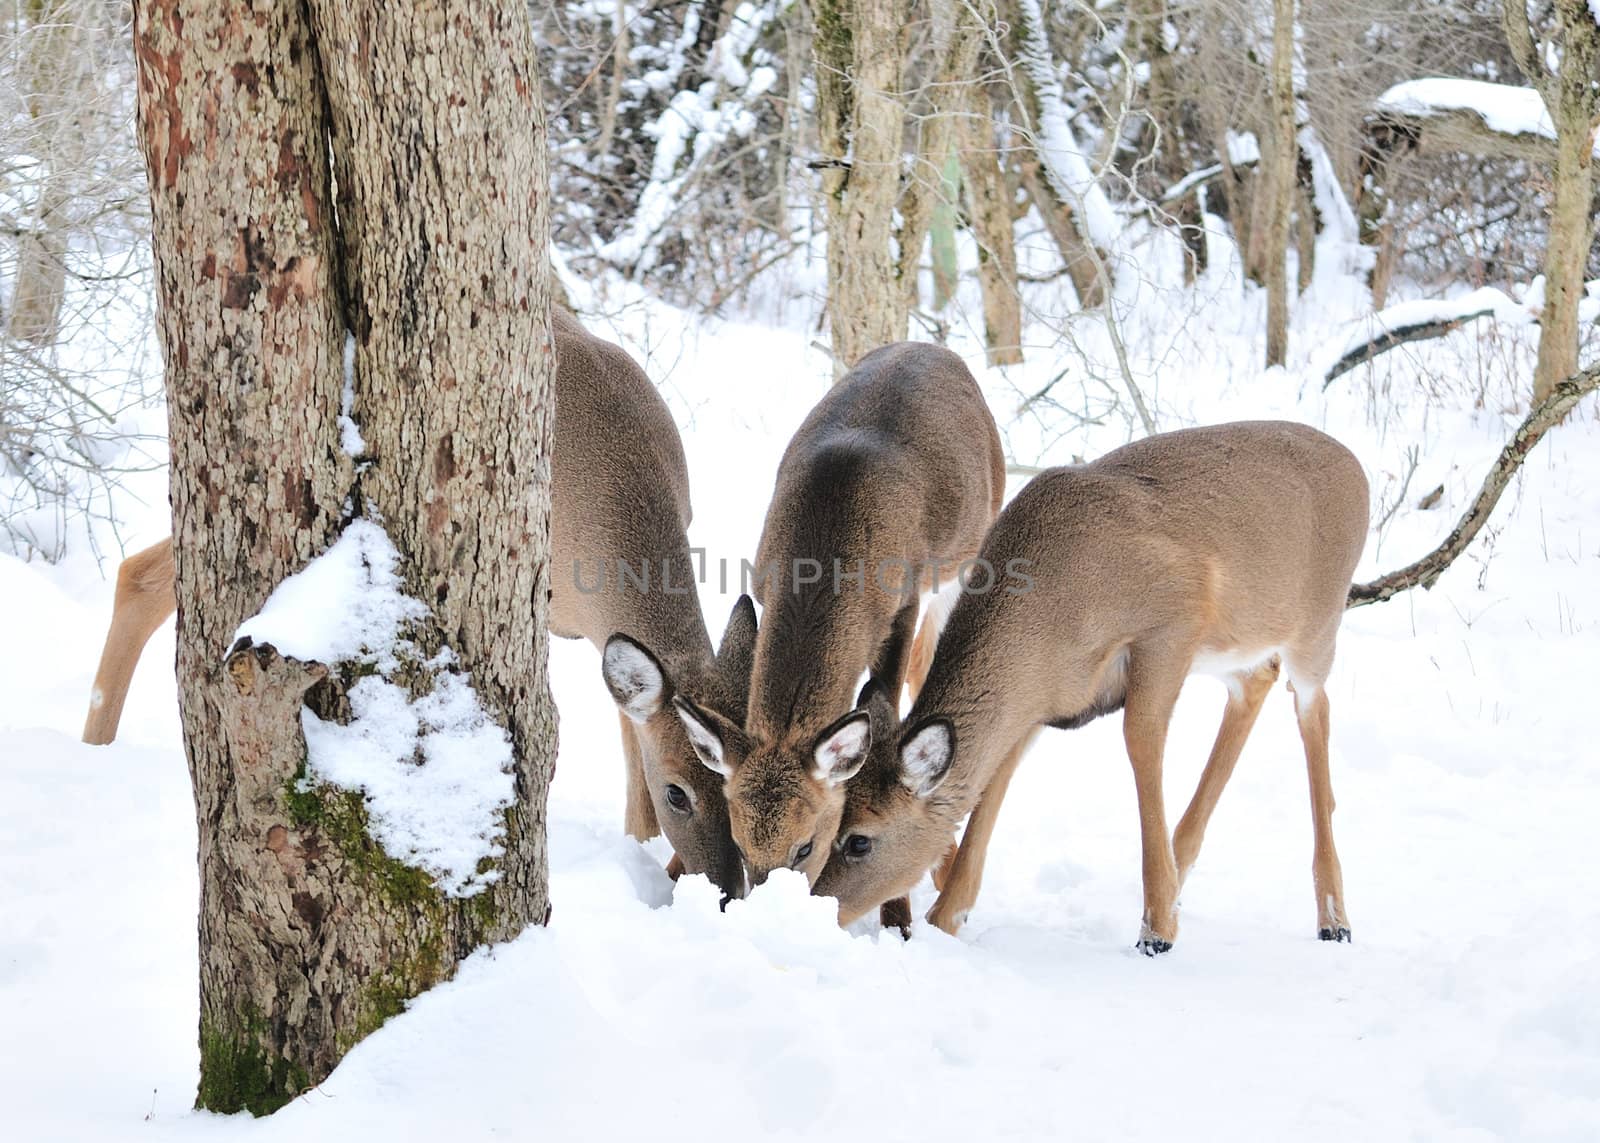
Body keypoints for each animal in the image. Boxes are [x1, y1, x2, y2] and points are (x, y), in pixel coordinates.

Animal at [624, 340, 998, 915]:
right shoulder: (761, 583)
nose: (757, 911)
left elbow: (884, 701)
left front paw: (899, 914)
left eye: (808, 846)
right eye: (739, 842)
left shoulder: (904, 603)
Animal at [819, 422, 1369, 947]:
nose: (818, 906)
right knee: (1258, 679)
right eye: (829, 821)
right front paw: (946, 918)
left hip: (1317, 625)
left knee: (1313, 711)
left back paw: (1334, 918)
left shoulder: (1171, 624)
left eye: (859, 839)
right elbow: (994, 781)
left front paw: (1157, 930)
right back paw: (1185, 873)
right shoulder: (1042, 700)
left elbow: (1141, 740)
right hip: (1237, 646)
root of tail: (1356, 467)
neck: (1051, 612)